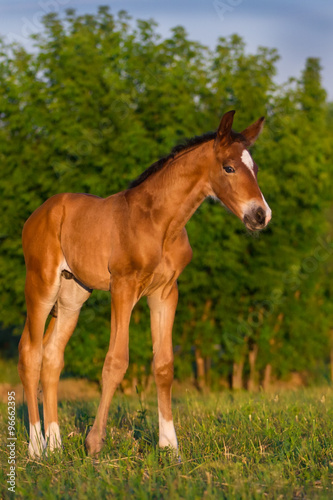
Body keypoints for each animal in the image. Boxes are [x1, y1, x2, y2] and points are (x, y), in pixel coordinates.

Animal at [18, 111, 270, 458]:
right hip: (42, 285)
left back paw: (55, 445)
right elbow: (116, 361)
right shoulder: (123, 287)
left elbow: (164, 365)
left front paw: (170, 447)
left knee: (52, 357)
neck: (160, 223)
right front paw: (94, 443)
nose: (261, 216)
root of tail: (38, 214)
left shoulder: (165, 293)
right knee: (31, 353)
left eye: (255, 169)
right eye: (228, 167)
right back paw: (36, 447)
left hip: (72, 294)